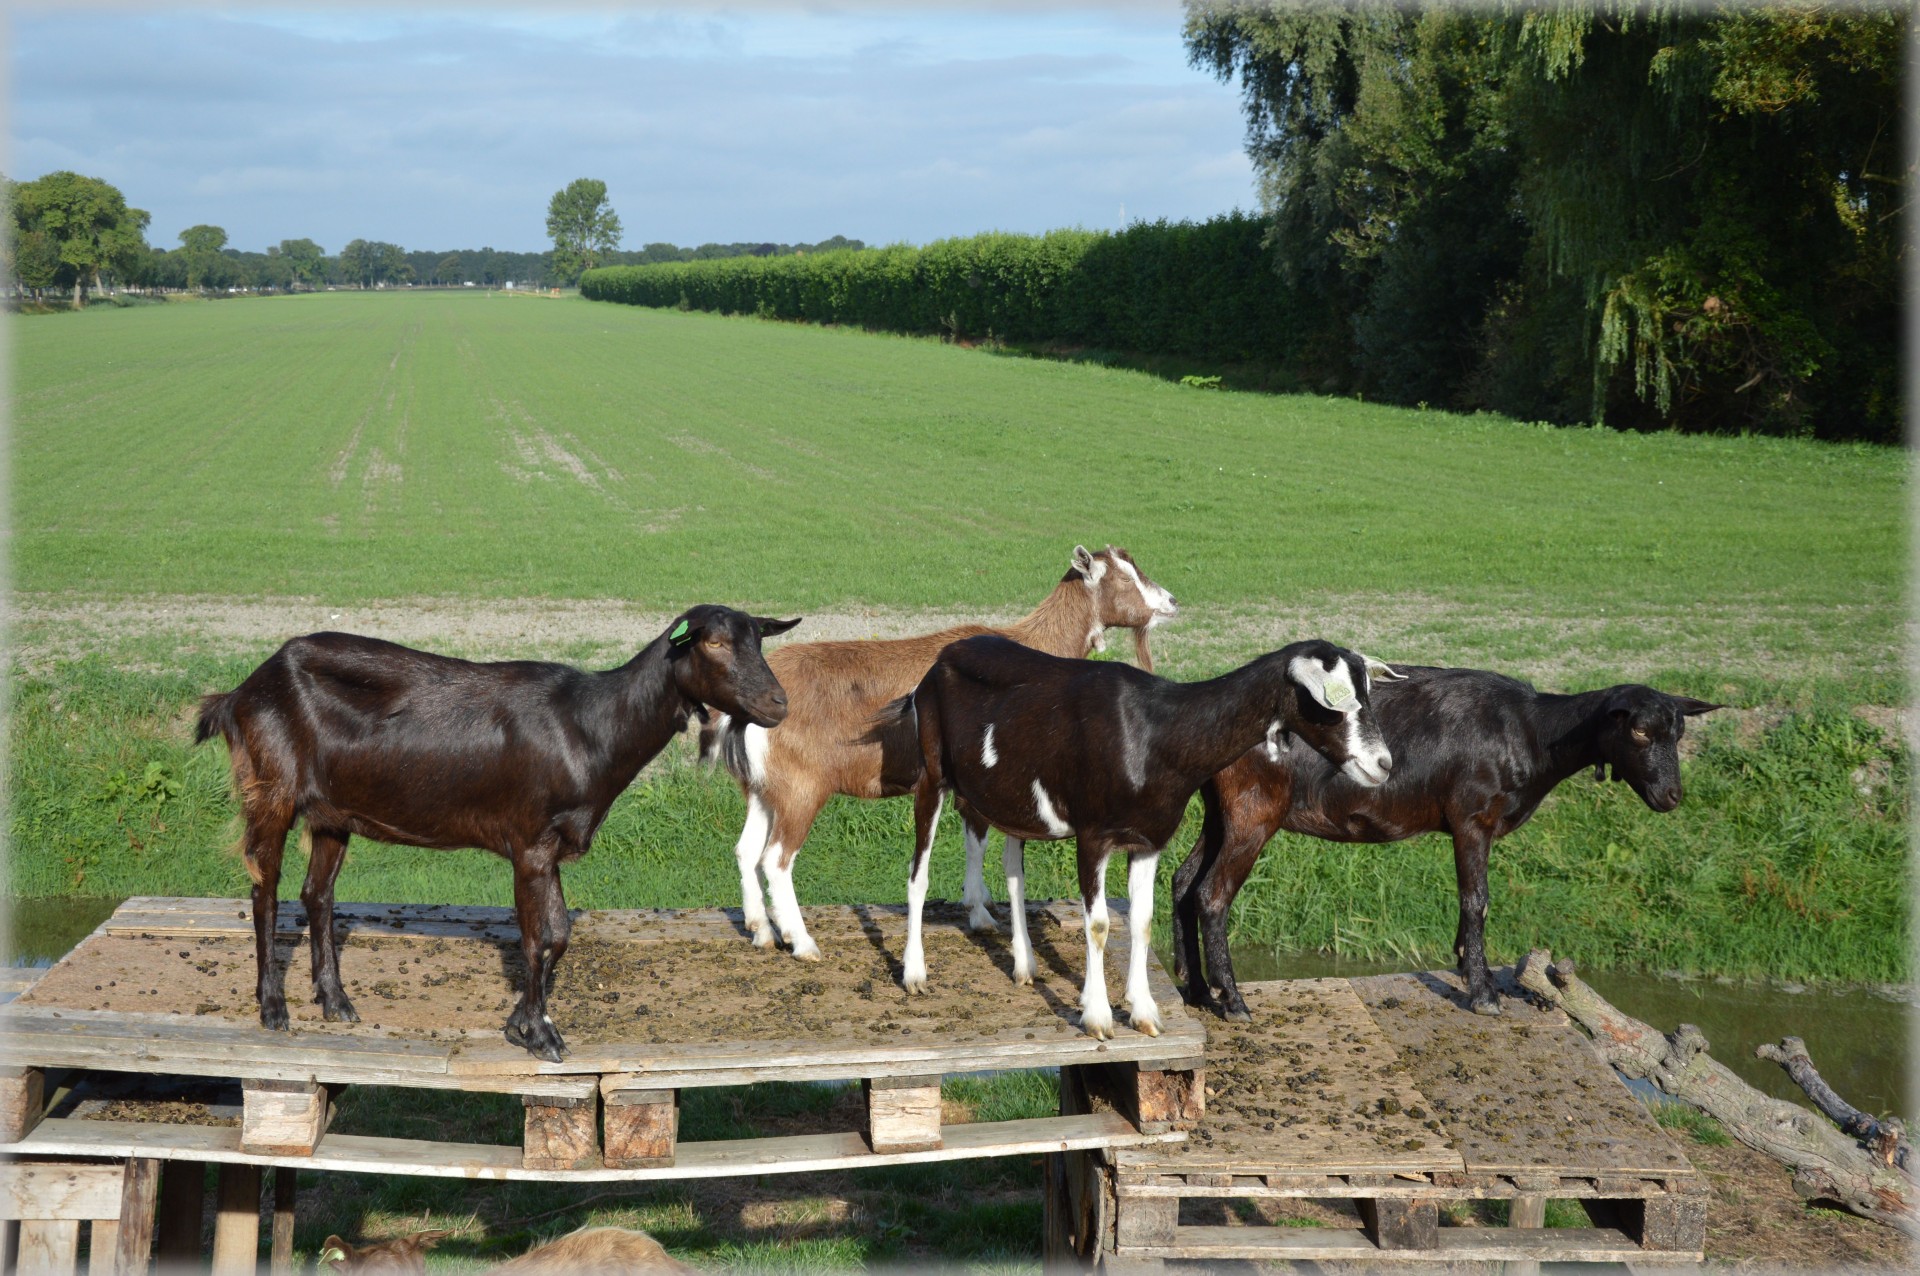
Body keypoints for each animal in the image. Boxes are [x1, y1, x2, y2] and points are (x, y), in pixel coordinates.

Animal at [194, 602, 794, 1059]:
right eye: (712, 642)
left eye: (760, 642)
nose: (778, 703)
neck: (590, 726)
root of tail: (239, 693)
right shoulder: (528, 840)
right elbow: (535, 938)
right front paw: (540, 1035)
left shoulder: (551, 845)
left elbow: (559, 934)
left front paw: (521, 1022)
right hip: (271, 788)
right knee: (265, 892)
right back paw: (274, 1007)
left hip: (331, 812)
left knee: (316, 893)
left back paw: (336, 1001)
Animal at [702, 541, 1167, 959]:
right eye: (1124, 578)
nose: (1170, 602)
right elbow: (978, 840)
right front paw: (981, 914)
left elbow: (973, 840)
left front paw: (979, 906)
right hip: (801, 789)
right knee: (776, 860)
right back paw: (802, 943)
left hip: (763, 789)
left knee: (746, 850)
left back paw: (761, 931)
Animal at [1167, 667, 1728, 1013]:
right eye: (1638, 732)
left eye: (1679, 733)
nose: (1671, 796)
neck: (1532, 734)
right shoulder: (1472, 817)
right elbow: (1477, 899)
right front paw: (1482, 993)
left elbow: (1471, 901)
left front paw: (1470, 968)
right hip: (1254, 810)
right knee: (1212, 894)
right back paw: (1233, 1001)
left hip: (1220, 811)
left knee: (1183, 881)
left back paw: (1197, 991)